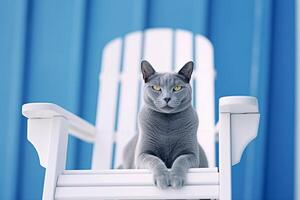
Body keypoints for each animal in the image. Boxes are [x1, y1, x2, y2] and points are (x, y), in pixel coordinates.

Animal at [122, 60, 209, 190]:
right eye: (156, 88)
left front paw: (176, 179)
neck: (167, 125)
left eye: (177, 88)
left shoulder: (191, 154)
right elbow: (155, 160)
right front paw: (162, 179)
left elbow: (181, 160)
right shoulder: (142, 154)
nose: (167, 98)